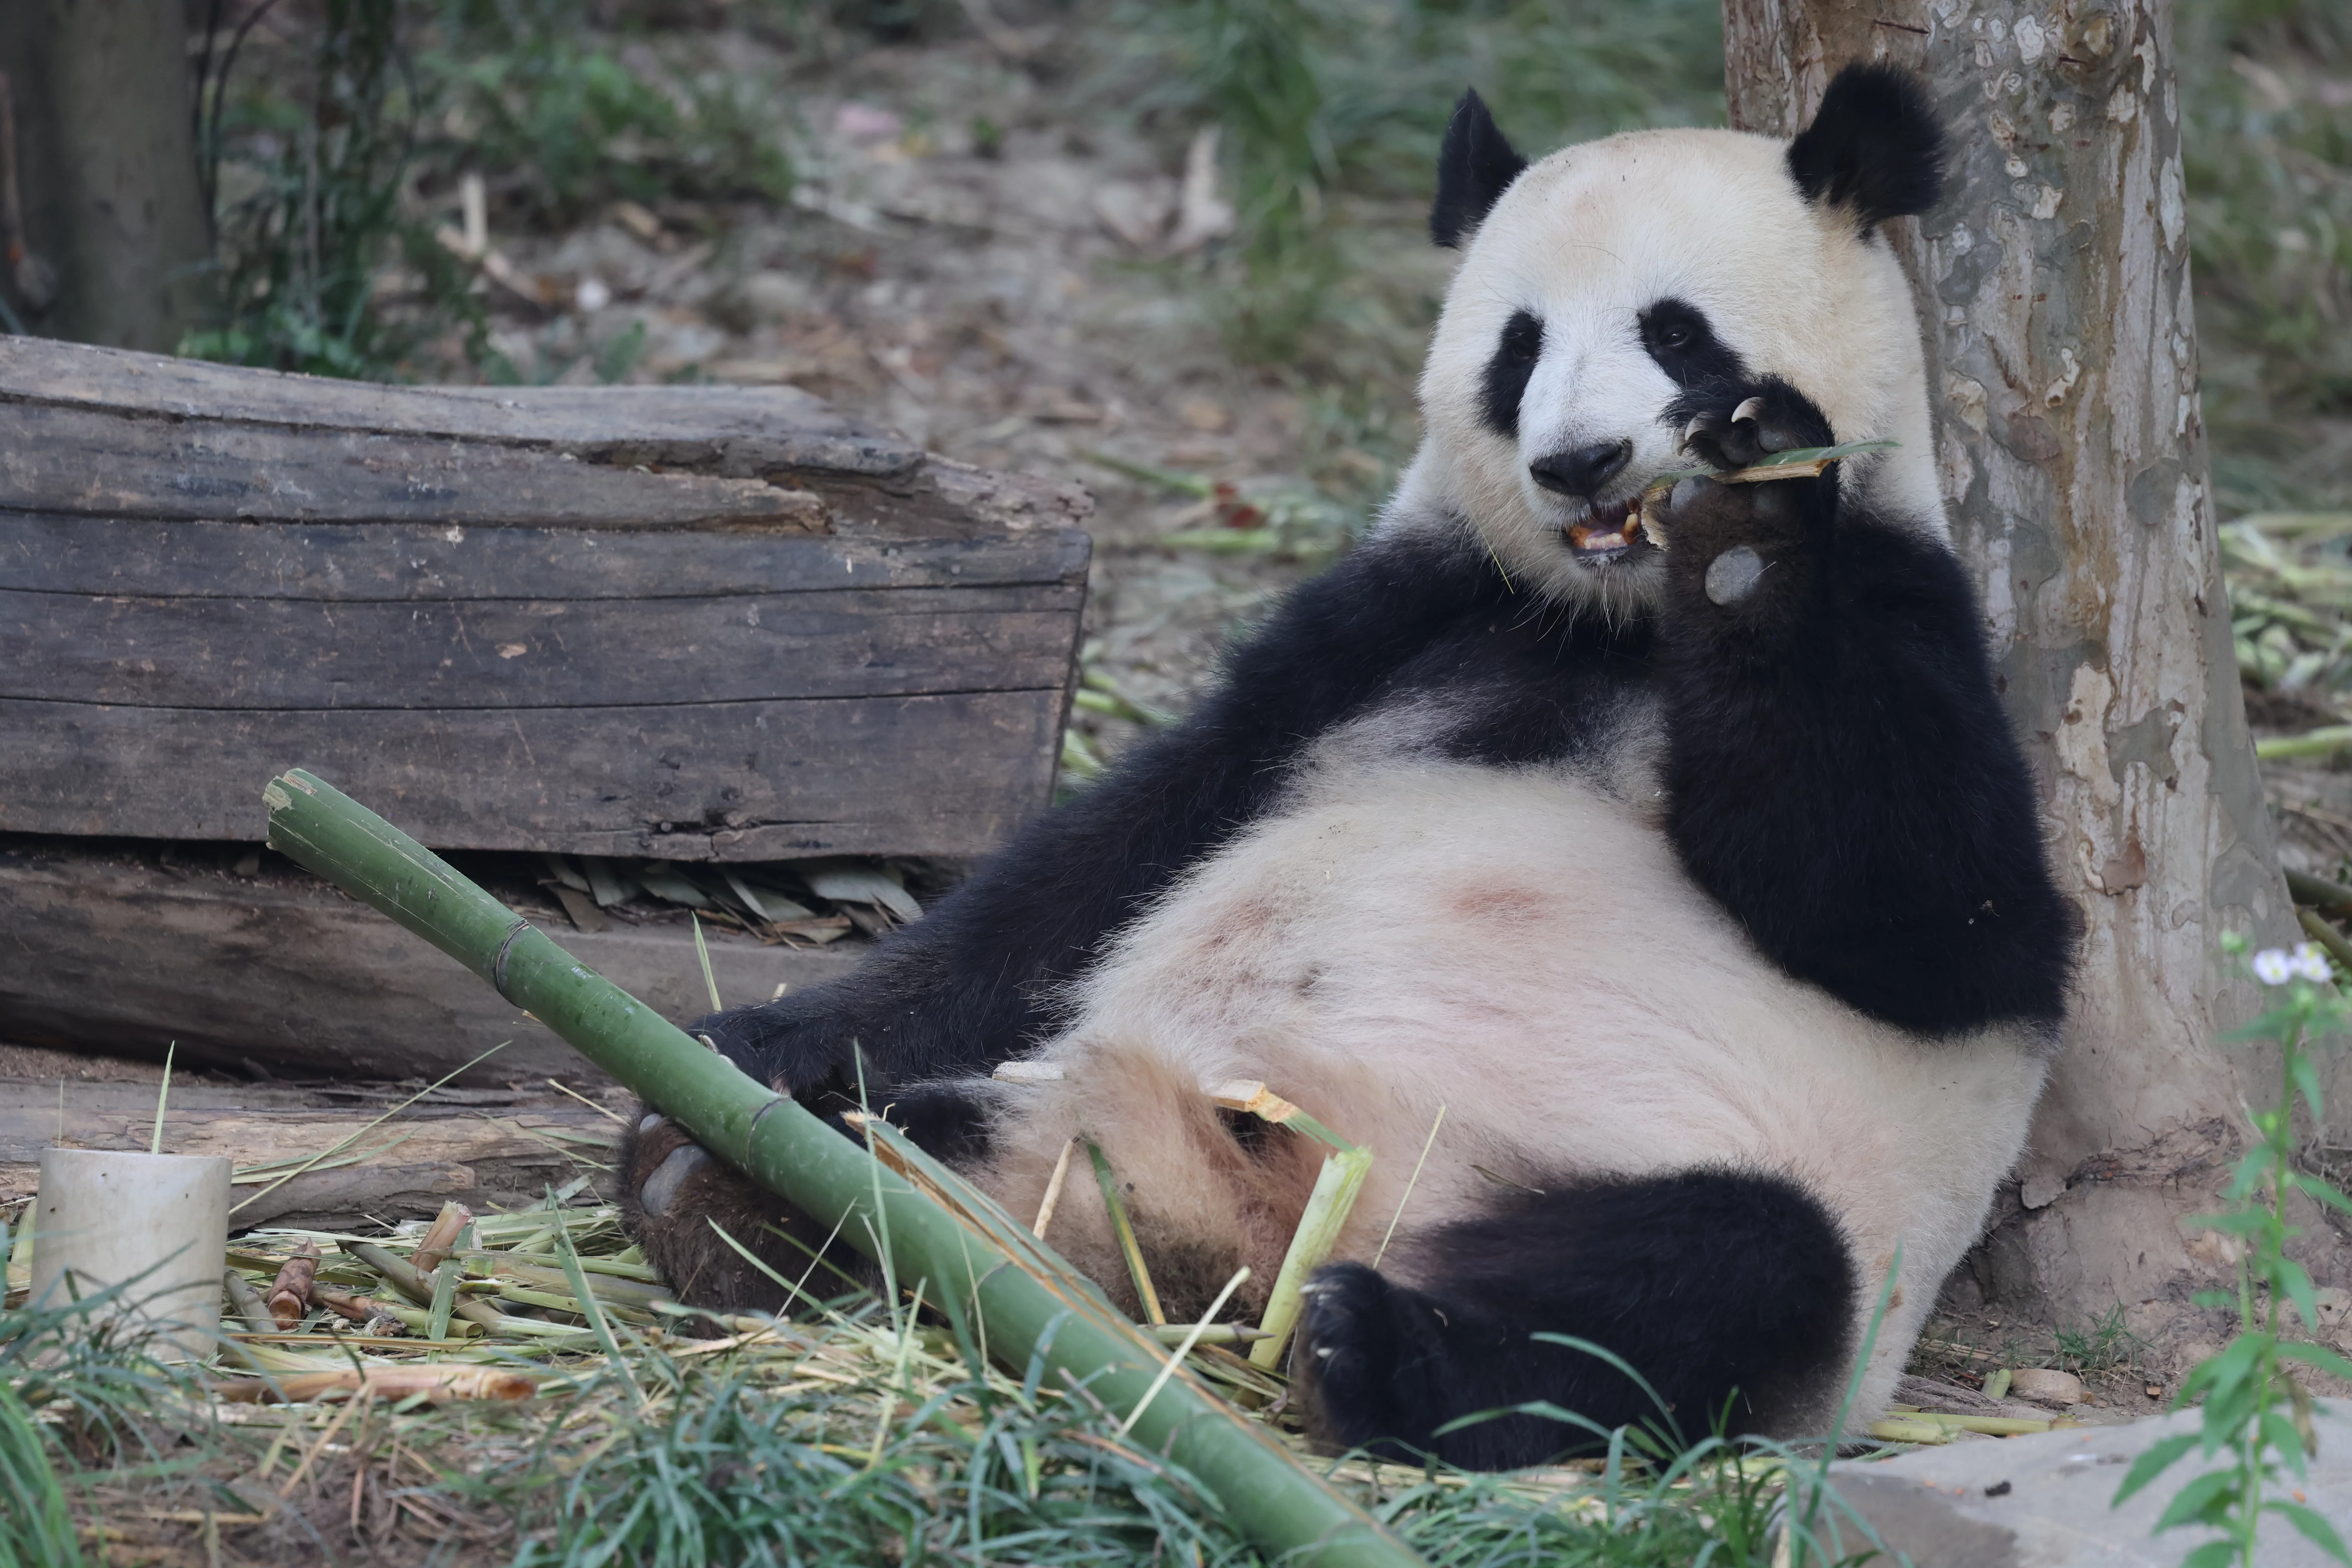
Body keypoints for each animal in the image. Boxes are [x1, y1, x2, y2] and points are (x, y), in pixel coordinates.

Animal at [620, 62, 2075, 1470]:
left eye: (1675, 332)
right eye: (1518, 348)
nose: (1581, 461)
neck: (1611, 622)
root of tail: (1250, 1229)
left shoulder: (1910, 605)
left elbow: (1945, 928)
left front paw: (1750, 520)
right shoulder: (1401, 621)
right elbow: (1112, 854)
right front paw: (749, 1043)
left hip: (1711, 1187)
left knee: (1716, 1273)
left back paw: (1375, 1350)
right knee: (948, 1130)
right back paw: (740, 1184)